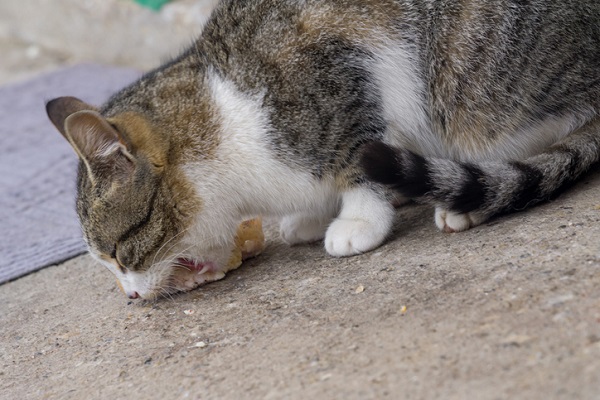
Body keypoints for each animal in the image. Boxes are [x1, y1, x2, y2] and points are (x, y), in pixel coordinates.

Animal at [47, 0, 600, 300]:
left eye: (120, 254)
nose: (133, 295)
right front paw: (312, 216)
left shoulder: (347, 71)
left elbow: (360, 159)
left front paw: (357, 220)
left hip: (474, 82)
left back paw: (466, 199)